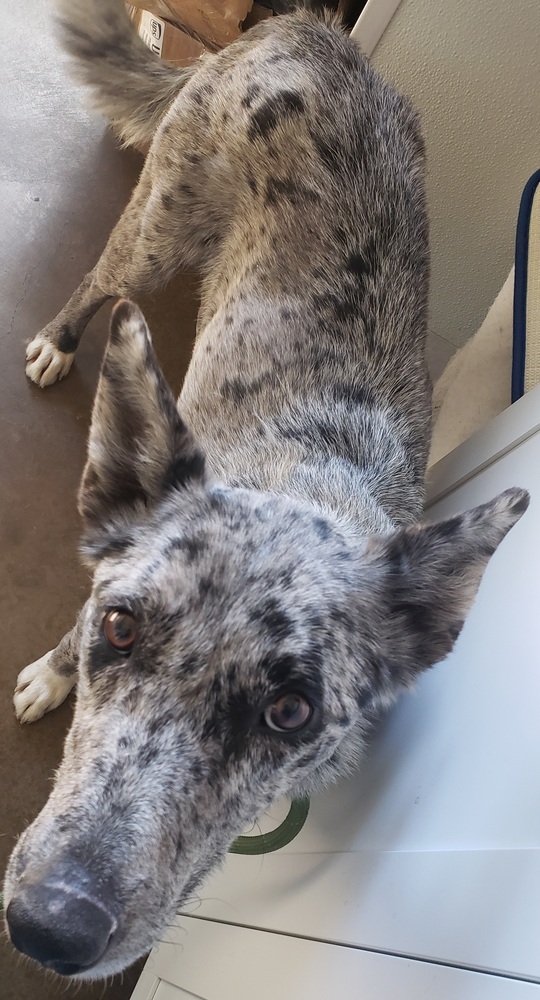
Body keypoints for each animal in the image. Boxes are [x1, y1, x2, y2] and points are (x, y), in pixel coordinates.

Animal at [3, 0, 528, 984]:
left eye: (290, 713)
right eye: (119, 628)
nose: (49, 928)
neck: (309, 484)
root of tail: (305, 27)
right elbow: (65, 635)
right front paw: (51, 677)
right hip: (156, 231)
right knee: (102, 279)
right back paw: (58, 340)